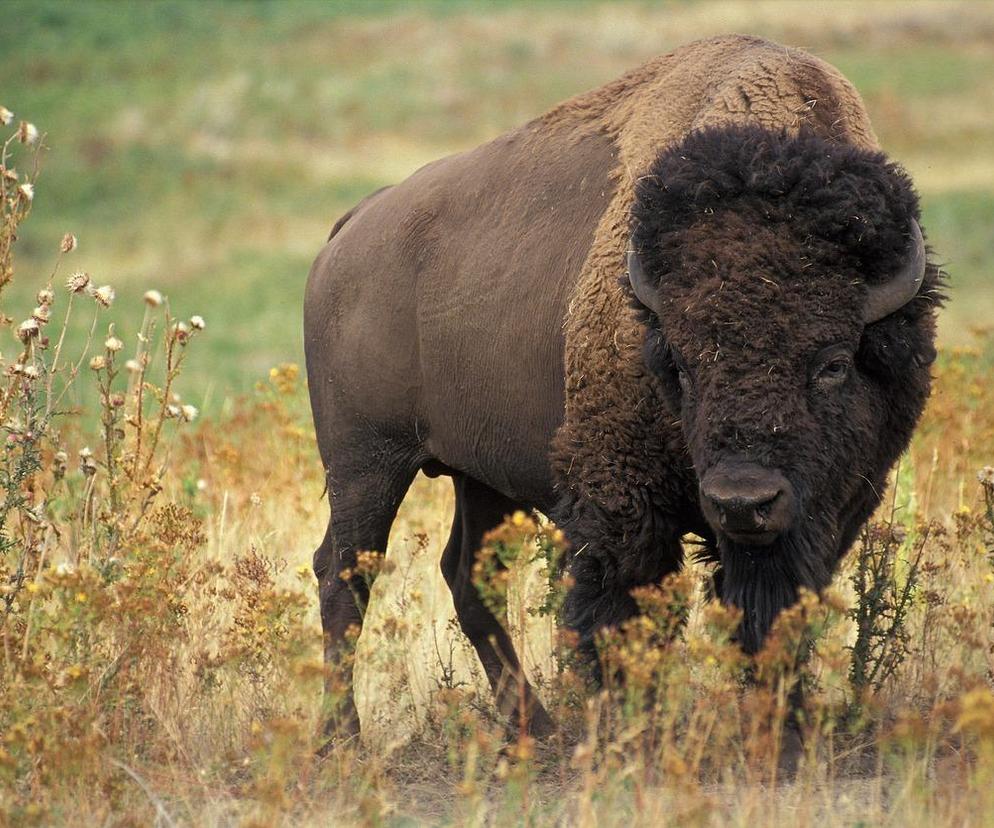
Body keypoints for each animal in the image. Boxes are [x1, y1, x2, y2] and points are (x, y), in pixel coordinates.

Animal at [306, 35, 940, 740]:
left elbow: (775, 615)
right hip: (367, 462)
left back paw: (536, 729)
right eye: (681, 365)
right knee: (344, 574)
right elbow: (621, 616)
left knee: (466, 575)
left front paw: (783, 728)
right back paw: (344, 737)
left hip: (479, 474)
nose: (742, 501)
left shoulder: (828, 510)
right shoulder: (621, 502)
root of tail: (354, 225)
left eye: (832, 363)